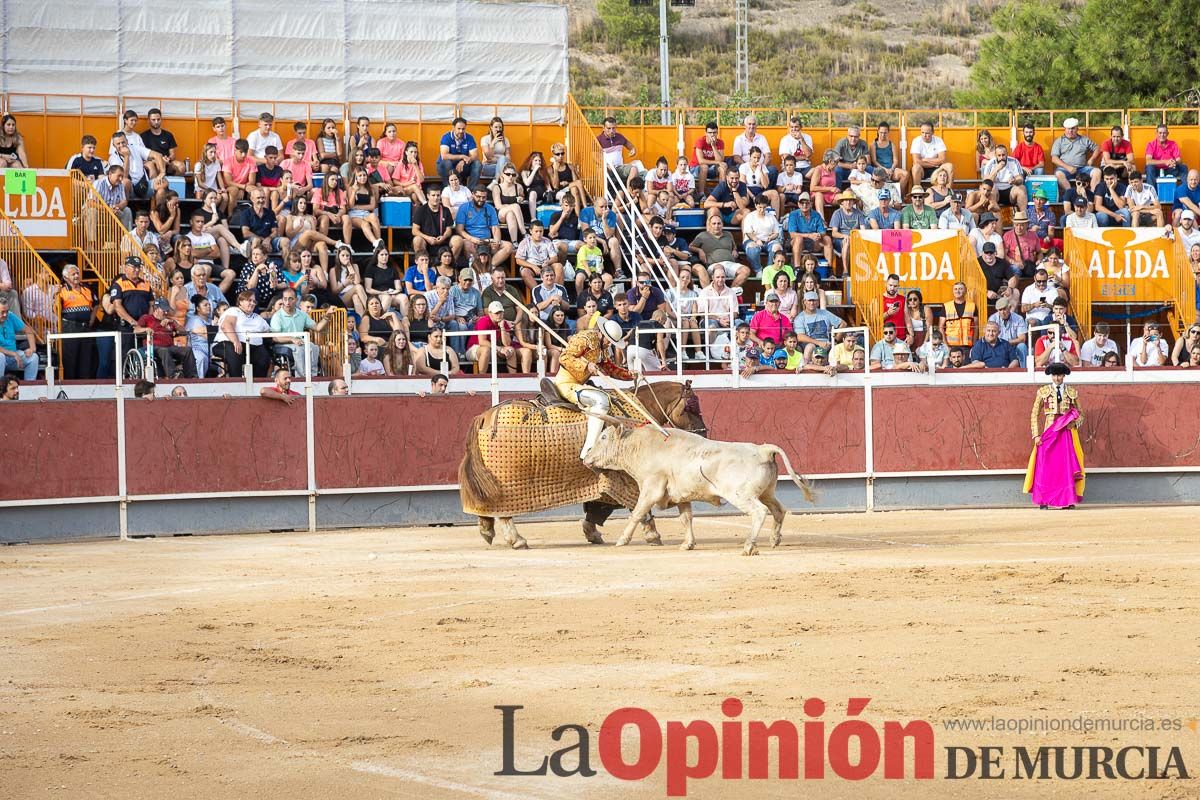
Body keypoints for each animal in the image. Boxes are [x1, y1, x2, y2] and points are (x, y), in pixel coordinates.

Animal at [578, 424, 816, 556]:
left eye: (603, 438)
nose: (586, 457)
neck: (640, 447)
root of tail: (763, 449)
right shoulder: (682, 496)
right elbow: (686, 518)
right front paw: (688, 544)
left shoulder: (651, 488)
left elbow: (637, 513)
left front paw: (622, 540)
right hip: (767, 493)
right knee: (779, 510)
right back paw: (774, 540)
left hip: (741, 495)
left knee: (759, 512)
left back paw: (749, 546)